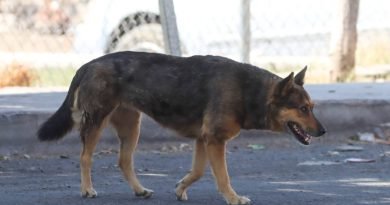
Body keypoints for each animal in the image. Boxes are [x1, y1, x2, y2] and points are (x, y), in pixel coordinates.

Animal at [38, 51, 326, 205]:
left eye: (311, 107)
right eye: (303, 109)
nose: (323, 132)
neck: (249, 92)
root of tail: (88, 64)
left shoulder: (204, 140)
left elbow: (197, 172)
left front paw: (180, 188)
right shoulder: (214, 141)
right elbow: (223, 177)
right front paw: (233, 198)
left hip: (132, 127)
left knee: (123, 161)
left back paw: (139, 190)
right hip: (96, 122)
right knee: (85, 157)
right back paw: (87, 190)